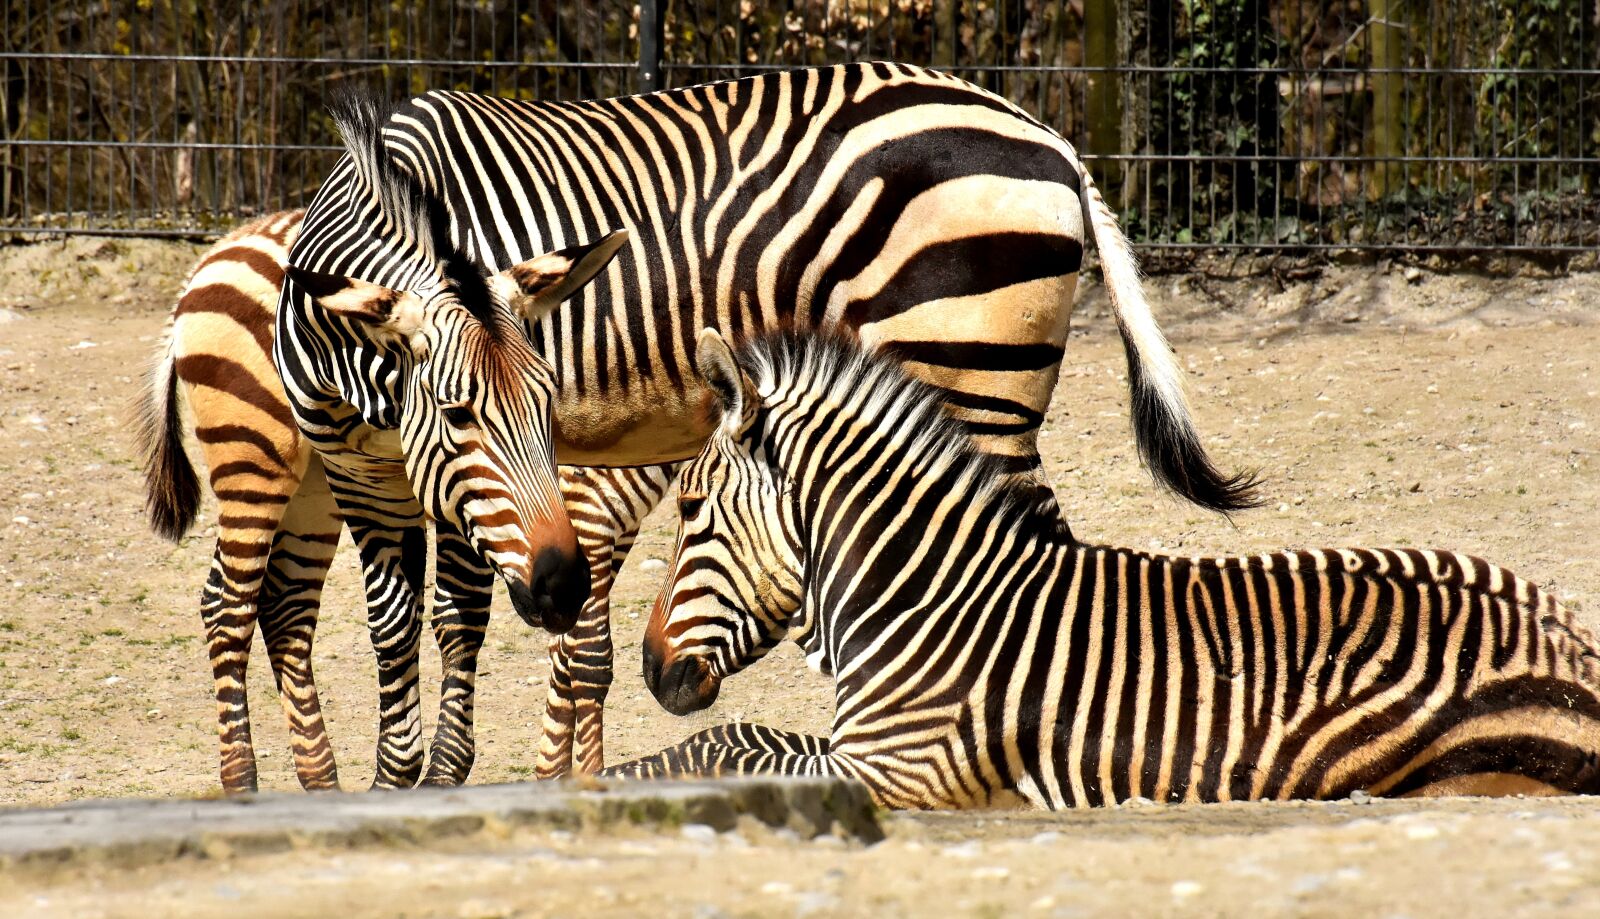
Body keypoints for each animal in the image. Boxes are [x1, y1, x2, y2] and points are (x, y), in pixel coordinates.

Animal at [139, 88, 628, 793]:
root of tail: (214, 252)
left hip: (310, 489)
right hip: (253, 456)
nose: (563, 586)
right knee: (227, 606)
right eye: (457, 414)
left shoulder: (437, 490)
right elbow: (398, 623)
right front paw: (401, 772)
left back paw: (320, 780)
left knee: (285, 608)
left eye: (548, 402)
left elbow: (460, 617)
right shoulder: (370, 482)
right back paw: (242, 779)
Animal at [610, 328, 1600, 808]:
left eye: (689, 510)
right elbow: (737, 740)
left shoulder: (903, 767)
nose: (651, 667)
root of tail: (1567, 635)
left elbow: (732, 742)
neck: (926, 601)